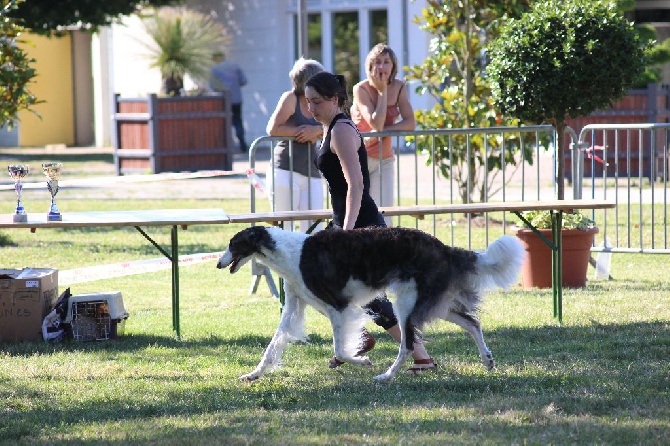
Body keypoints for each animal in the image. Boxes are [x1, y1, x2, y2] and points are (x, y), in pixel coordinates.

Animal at [218, 225, 528, 382]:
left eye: (233, 244)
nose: (219, 264)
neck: (290, 253)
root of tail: (444, 247)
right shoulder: (294, 306)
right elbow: (273, 346)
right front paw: (253, 374)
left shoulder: (338, 306)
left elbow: (340, 350)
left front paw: (363, 360)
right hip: (432, 302)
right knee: (471, 322)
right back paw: (487, 360)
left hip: (407, 304)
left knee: (407, 344)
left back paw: (386, 376)